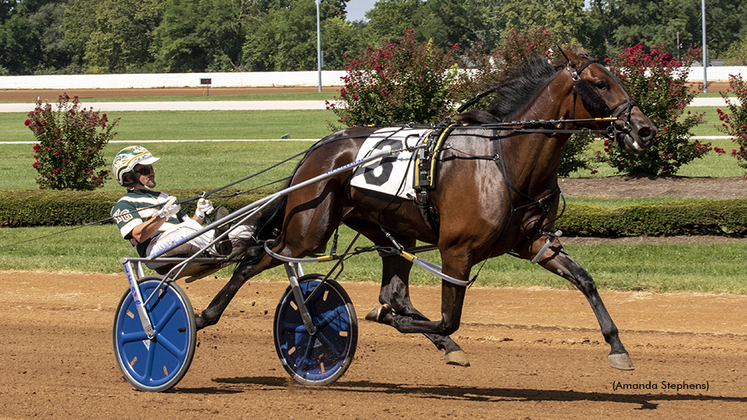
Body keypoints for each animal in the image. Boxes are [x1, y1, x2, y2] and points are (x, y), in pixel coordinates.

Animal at [196, 50, 656, 370]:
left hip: (389, 232)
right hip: (308, 231)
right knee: (255, 260)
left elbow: (585, 280)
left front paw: (618, 347)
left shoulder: (534, 242)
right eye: (600, 83)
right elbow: (448, 319)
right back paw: (203, 317)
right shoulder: (456, 251)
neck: (505, 158)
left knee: (393, 291)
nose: (645, 129)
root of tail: (319, 148)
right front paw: (400, 324)